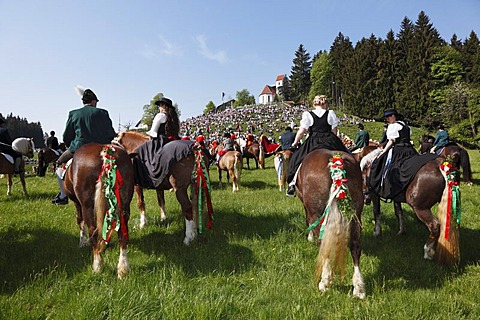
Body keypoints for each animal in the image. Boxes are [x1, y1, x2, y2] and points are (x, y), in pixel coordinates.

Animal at [63, 144, 135, 278]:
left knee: (93, 231)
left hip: (87, 206)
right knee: (122, 233)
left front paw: (82, 242)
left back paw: (97, 266)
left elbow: (80, 221)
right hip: (124, 204)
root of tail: (106, 152)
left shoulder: (78, 203)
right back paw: (123, 269)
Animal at [294, 149, 366, 298]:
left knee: (322, 243)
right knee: (355, 246)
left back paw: (325, 281)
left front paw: (309, 237)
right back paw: (359, 288)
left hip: (318, 213)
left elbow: (308, 220)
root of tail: (335, 161)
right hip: (356, 214)